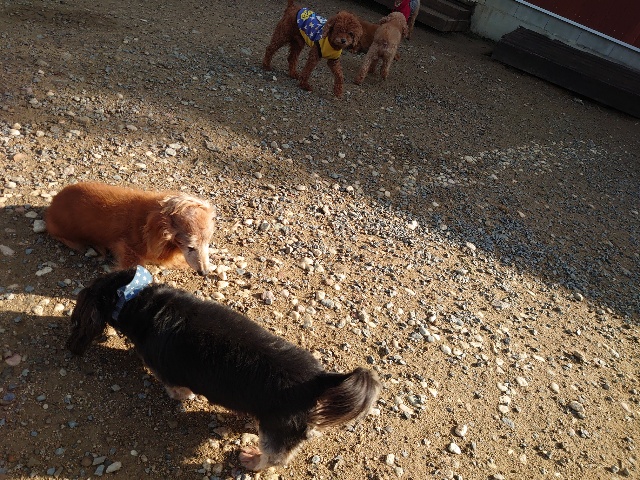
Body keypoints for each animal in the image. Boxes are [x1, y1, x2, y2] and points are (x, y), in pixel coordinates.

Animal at [67, 267, 381, 471]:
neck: (137, 299)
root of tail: (319, 379)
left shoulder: (168, 376)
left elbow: (177, 391)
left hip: (277, 431)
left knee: (274, 460)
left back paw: (252, 460)